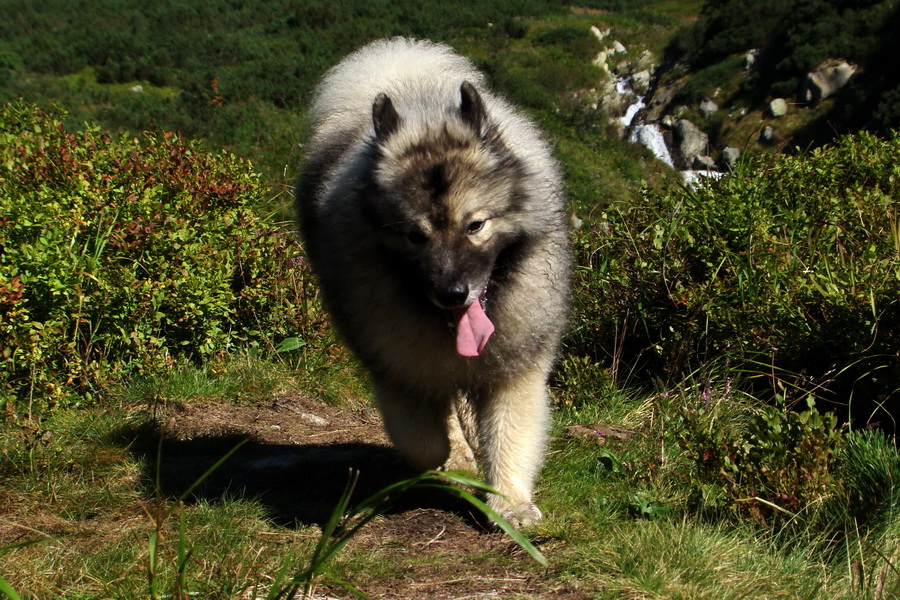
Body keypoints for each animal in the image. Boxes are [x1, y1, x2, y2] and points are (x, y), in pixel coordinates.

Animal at [298, 37, 572, 528]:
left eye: (476, 225)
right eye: (414, 236)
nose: (452, 294)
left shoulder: (514, 367)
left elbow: (509, 432)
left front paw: (510, 502)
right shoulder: (400, 369)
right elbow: (427, 440)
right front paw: (454, 462)